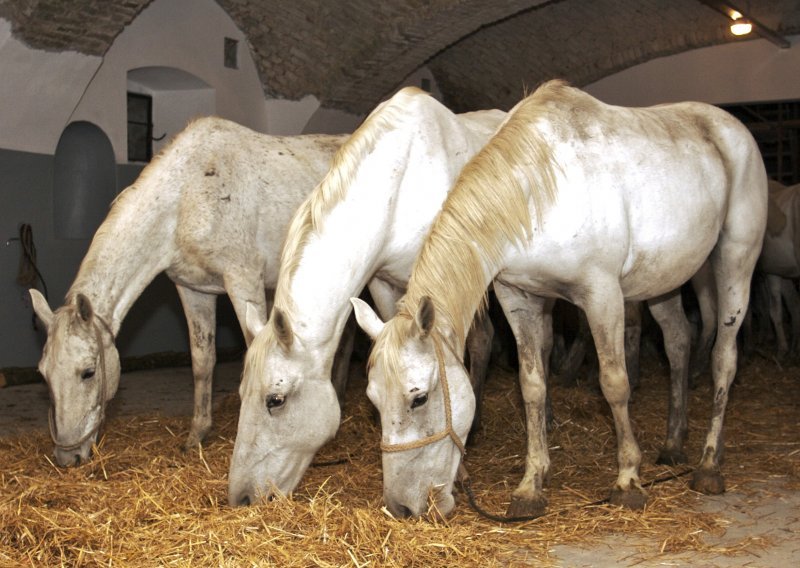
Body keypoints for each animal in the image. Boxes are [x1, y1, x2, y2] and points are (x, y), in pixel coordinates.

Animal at [27, 117, 346, 468]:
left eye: (88, 372)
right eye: (43, 374)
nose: (67, 456)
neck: (187, 198)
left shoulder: (243, 279)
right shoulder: (194, 290)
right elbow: (202, 362)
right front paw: (197, 435)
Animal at [354, 80, 764, 520]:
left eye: (419, 398)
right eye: (373, 400)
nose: (400, 507)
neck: (540, 189)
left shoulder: (602, 294)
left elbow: (614, 383)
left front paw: (627, 480)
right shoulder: (519, 297)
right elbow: (532, 385)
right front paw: (531, 485)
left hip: (735, 263)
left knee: (724, 359)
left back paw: (708, 465)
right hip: (662, 282)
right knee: (678, 343)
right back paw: (673, 445)